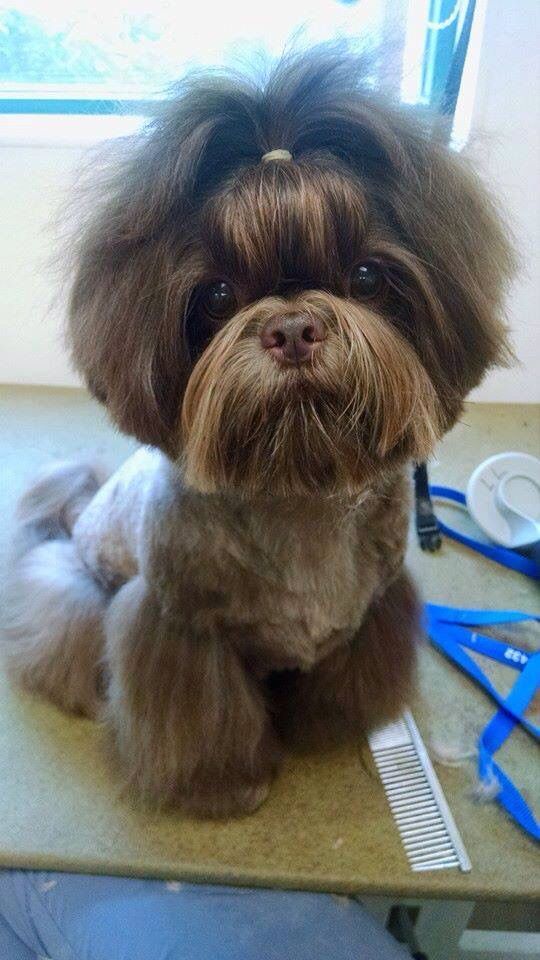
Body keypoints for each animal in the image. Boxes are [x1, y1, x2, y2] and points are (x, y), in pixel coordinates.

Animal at [1, 41, 516, 812]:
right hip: (83, 584)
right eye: (217, 295)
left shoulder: (375, 612)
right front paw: (222, 785)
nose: (294, 327)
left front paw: (329, 729)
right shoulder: (182, 631)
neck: (297, 495)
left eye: (367, 278)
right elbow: (197, 718)